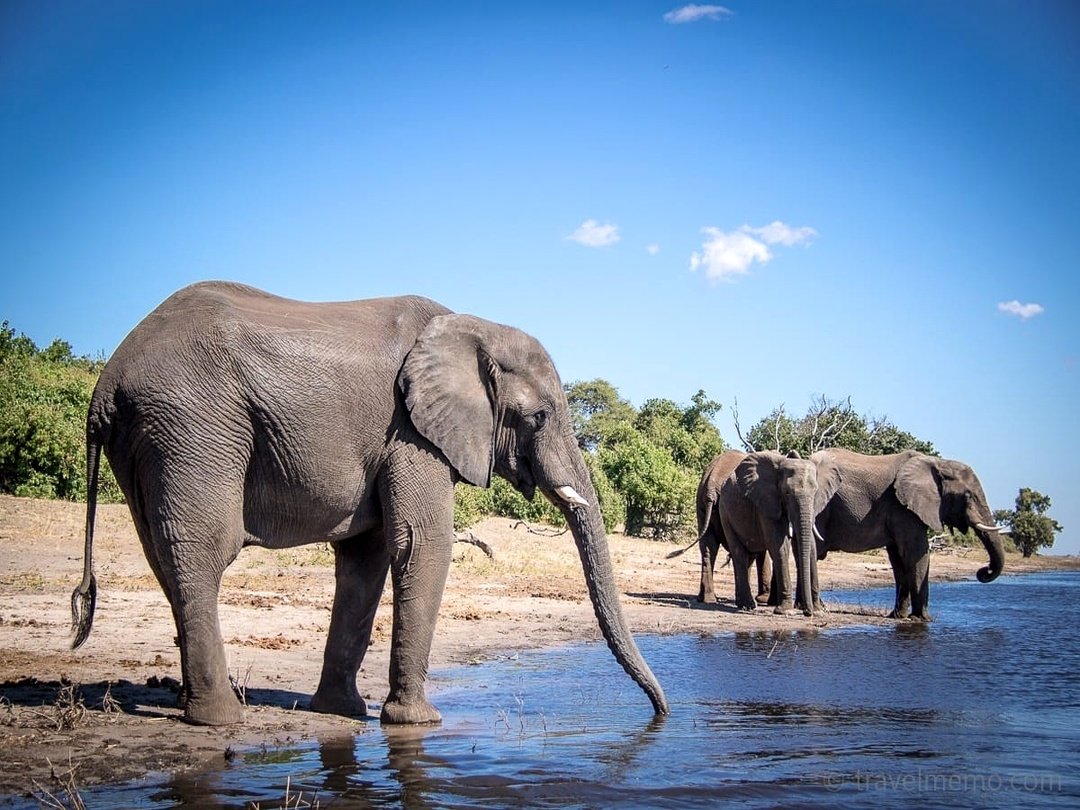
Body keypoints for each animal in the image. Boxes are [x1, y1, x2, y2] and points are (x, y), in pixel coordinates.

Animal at [69, 281, 668, 726]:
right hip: (193, 426)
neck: (474, 328)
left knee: (166, 559)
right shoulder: (410, 432)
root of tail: (105, 384)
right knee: (202, 554)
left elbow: (368, 556)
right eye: (539, 417)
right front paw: (418, 723)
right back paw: (221, 718)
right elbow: (423, 545)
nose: (662, 714)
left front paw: (342, 713)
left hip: (150, 441)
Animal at [718, 450, 841, 615]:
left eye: (815, 492)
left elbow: (811, 546)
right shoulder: (767, 502)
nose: (807, 612)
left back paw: (742, 604)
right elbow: (778, 545)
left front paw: (817, 610)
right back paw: (748, 606)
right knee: (739, 553)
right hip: (725, 512)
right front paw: (785, 611)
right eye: (787, 493)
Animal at [809, 448, 1006, 621]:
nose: (984, 571)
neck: (938, 463)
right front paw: (923, 619)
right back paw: (819, 608)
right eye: (967, 496)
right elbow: (915, 553)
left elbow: (898, 559)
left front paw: (899, 616)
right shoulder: (903, 508)